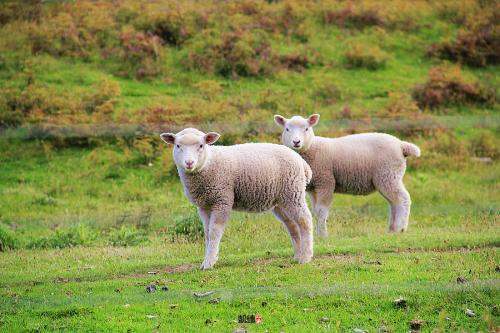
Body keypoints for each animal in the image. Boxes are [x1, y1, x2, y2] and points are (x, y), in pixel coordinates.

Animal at [159, 127, 312, 270]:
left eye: (201, 145)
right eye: (178, 145)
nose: (189, 163)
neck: (209, 163)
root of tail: (302, 163)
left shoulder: (222, 200)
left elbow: (214, 232)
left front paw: (209, 263)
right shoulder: (204, 205)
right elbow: (207, 233)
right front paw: (206, 260)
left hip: (293, 192)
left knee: (304, 220)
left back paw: (306, 257)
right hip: (280, 201)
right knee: (292, 225)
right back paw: (298, 255)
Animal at [274, 114, 422, 236]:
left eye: (306, 129)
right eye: (287, 129)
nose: (296, 142)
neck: (311, 148)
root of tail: (401, 145)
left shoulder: (326, 182)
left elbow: (322, 211)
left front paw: (323, 235)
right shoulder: (313, 188)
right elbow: (315, 211)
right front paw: (317, 234)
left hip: (388, 175)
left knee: (403, 199)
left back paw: (400, 228)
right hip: (388, 178)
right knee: (394, 202)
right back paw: (391, 229)